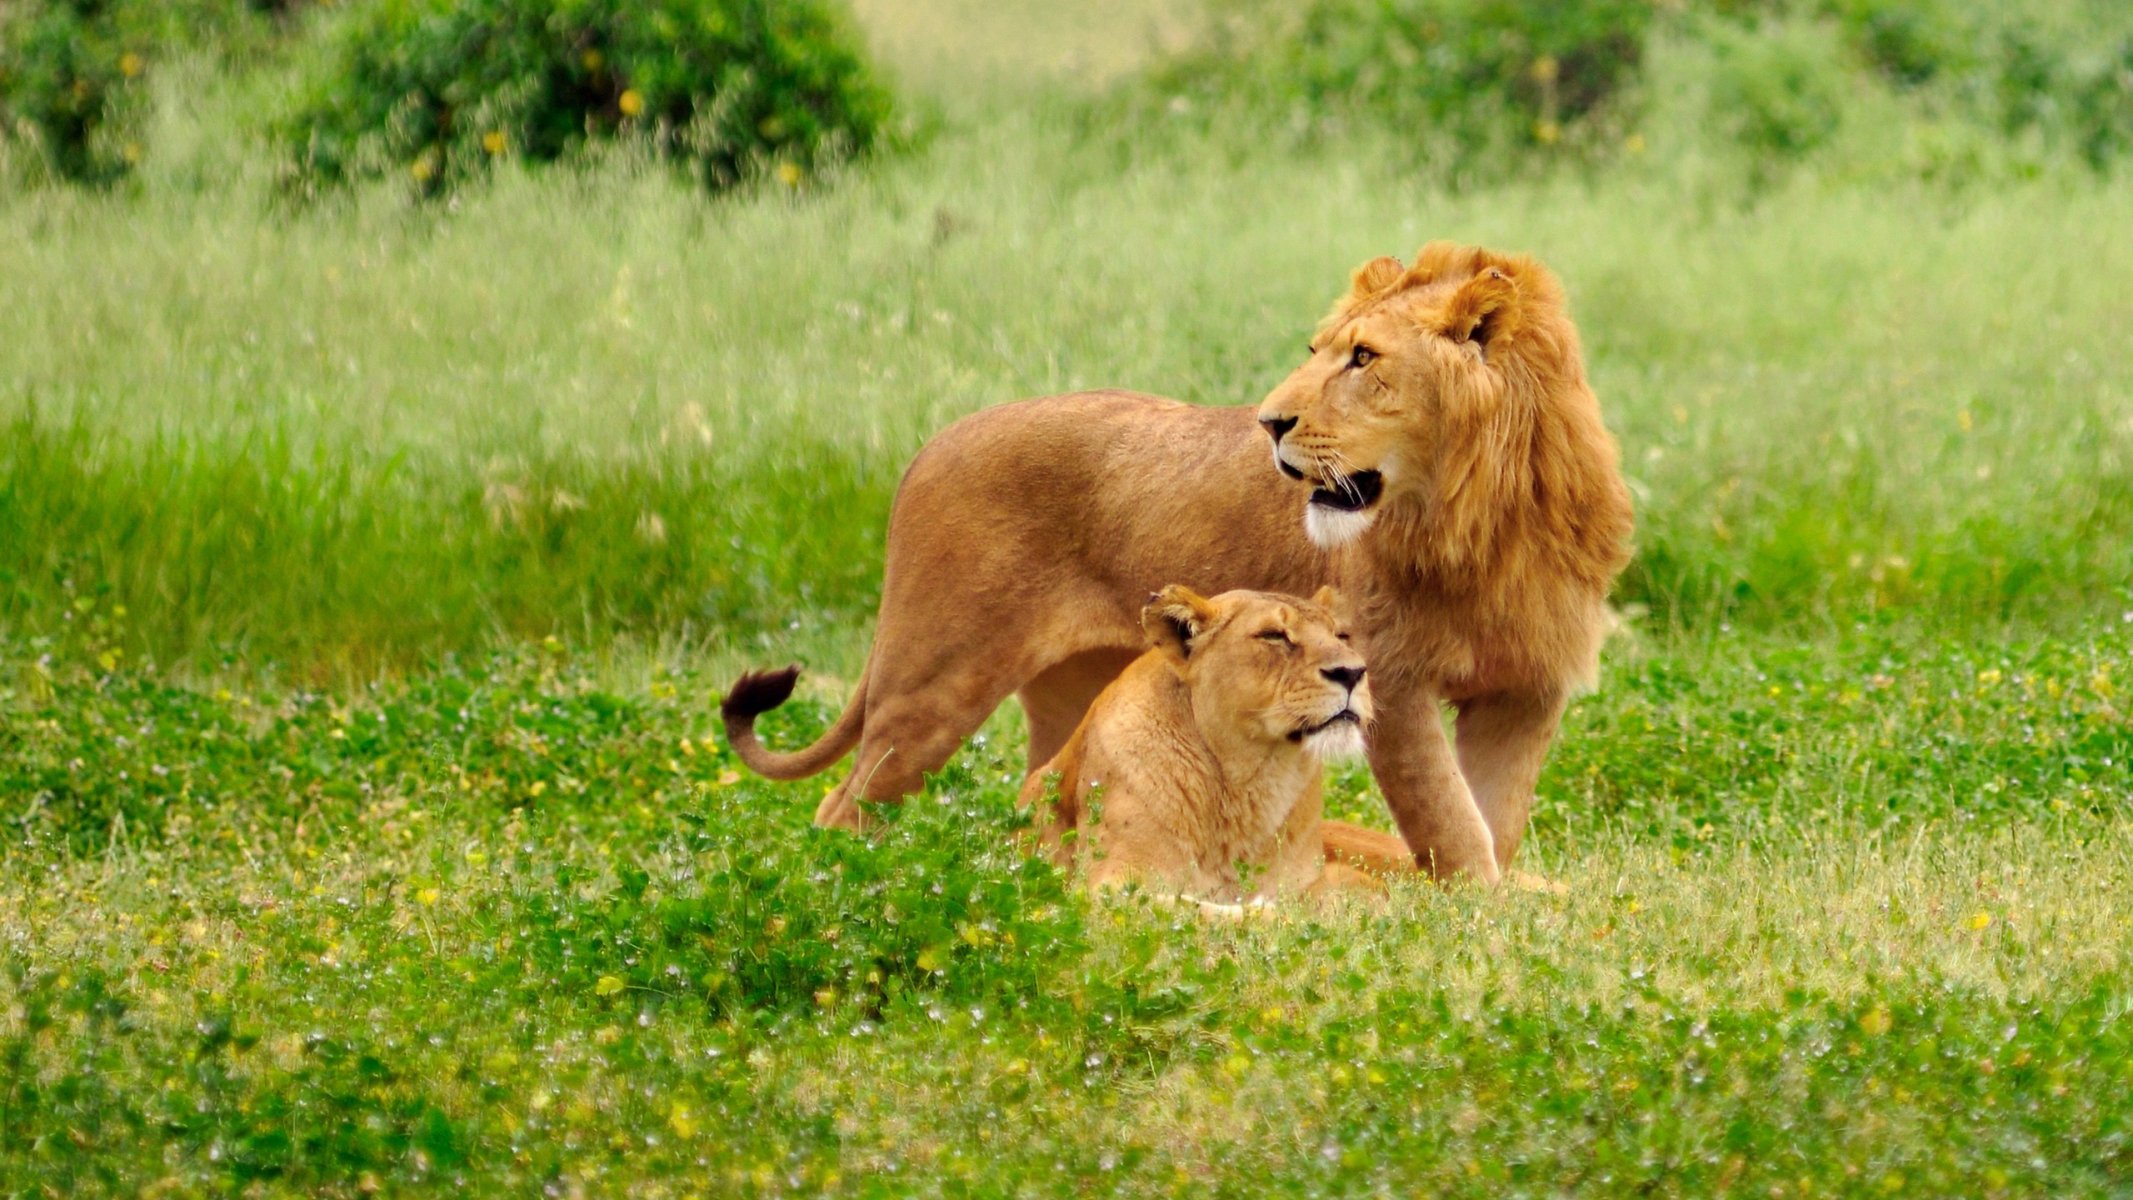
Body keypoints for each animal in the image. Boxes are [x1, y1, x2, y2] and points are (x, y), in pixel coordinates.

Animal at [1020, 584, 1399, 907]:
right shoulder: (1111, 885)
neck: (1251, 783)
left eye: (1340, 636)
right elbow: (1187, 906)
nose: (1352, 673)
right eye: (1274, 635)